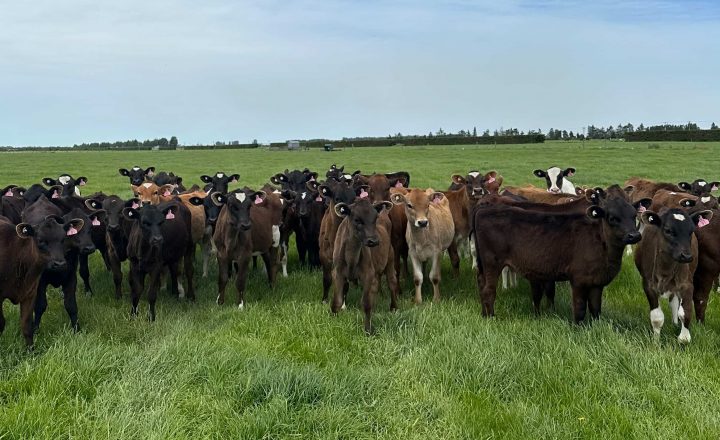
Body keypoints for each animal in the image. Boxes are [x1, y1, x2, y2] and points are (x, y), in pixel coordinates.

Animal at [0, 214, 78, 347]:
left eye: (63, 239)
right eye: (41, 240)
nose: (59, 264)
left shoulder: (30, 293)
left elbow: (27, 325)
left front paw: (31, 350)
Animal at [331, 199, 399, 334]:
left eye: (375, 218)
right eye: (357, 219)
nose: (374, 241)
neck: (351, 256)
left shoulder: (368, 274)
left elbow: (366, 303)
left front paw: (368, 330)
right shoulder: (337, 273)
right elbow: (337, 301)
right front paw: (334, 322)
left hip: (390, 258)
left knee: (392, 283)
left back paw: (393, 308)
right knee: (376, 285)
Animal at [473, 185, 643, 322]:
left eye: (634, 215)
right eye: (612, 218)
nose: (634, 235)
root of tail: (484, 208)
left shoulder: (596, 281)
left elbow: (595, 309)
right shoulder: (577, 280)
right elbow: (578, 307)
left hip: (483, 266)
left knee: (481, 285)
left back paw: (483, 314)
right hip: (492, 263)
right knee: (488, 290)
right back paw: (491, 318)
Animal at [634, 208, 711, 343]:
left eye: (691, 231)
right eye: (668, 230)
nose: (686, 256)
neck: (665, 269)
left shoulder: (686, 284)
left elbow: (686, 312)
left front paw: (683, 339)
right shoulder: (648, 285)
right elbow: (657, 317)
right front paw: (656, 341)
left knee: (675, 302)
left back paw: (675, 323)